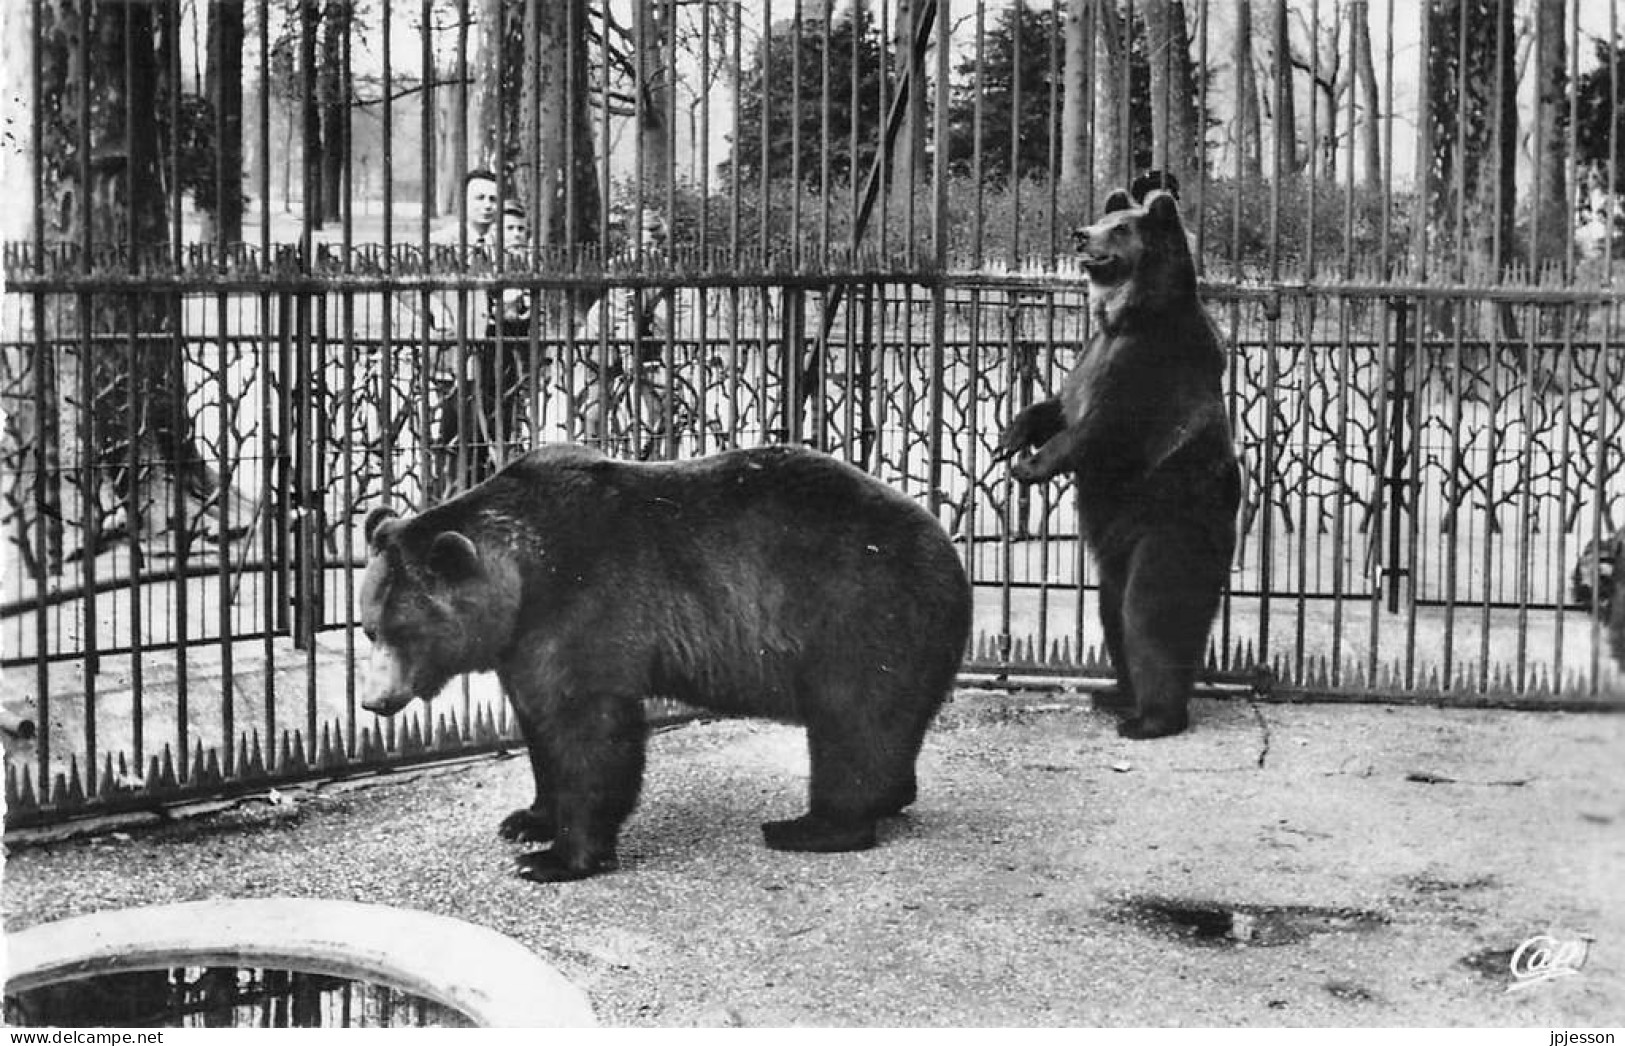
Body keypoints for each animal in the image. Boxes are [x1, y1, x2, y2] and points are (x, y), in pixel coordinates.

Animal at [362, 441, 968, 883]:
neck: (525, 579)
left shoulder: (588, 608)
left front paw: (555, 858)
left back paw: (808, 827)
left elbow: (591, 734)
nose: (374, 700)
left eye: (405, 630)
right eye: (369, 627)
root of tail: (950, 549)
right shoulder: (522, 644)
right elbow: (540, 725)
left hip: (860, 617)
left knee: (851, 726)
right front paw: (527, 820)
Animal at [988, 190, 1241, 743]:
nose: (1081, 235)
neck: (1123, 317)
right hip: (1115, 550)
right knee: (1112, 614)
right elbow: (1060, 404)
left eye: (1122, 228)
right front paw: (1012, 436)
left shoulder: (1148, 367)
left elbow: (1098, 430)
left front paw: (1030, 466)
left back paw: (1150, 719)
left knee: (1149, 612)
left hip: (1169, 528)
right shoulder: (1093, 354)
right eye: (1104, 217)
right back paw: (1113, 694)